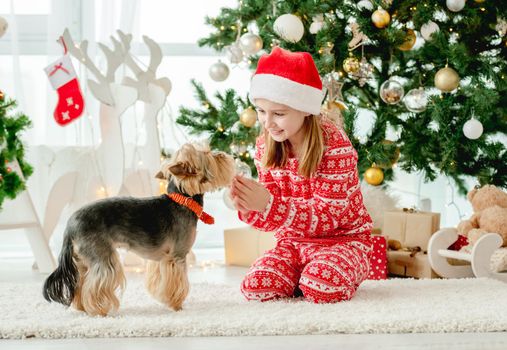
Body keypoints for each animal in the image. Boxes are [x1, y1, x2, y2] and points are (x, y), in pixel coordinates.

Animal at [43, 144, 234, 316]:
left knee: (81, 284)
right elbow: (178, 283)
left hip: (82, 261)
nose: (224, 154)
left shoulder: (161, 260)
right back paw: (98, 312)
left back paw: (83, 308)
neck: (183, 200)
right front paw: (177, 306)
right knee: (95, 284)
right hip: (101, 255)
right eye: (208, 153)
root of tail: (69, 226)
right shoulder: (177, 256)